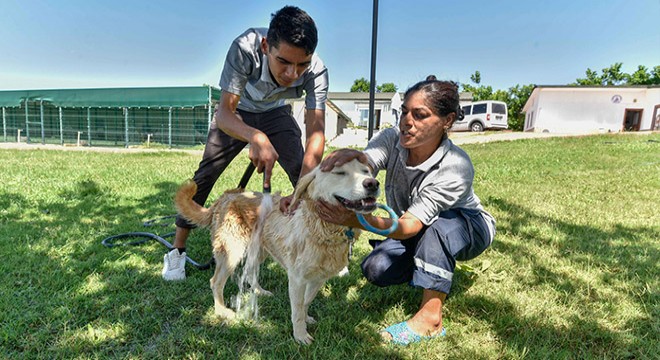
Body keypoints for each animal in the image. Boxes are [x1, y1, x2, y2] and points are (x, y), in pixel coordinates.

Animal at [175, 154, 378, 344]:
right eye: (339, 173)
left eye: (366, 171)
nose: (373, 184)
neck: (325, 229)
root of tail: (225, 196)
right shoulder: (297, 278)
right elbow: (297, 310)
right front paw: (300, 335)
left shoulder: (318, 279)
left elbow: (306, 303)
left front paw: (306, 319)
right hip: (232, 252)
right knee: (216, 281)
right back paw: (221, 311)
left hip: (260, 250)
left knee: (250, 272)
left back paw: (260, 291)